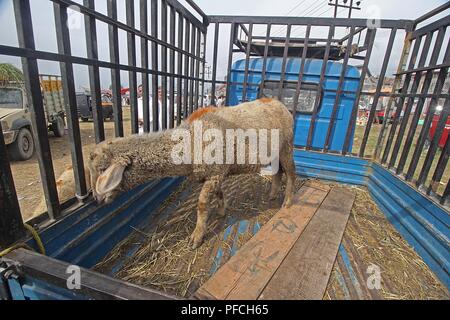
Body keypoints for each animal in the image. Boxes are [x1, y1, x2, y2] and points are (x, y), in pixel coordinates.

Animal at [89, 99, 298, 249]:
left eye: (102, 170)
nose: (96, 199)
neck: (189, 141)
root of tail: (280, 104)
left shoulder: (214, 173)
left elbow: (202, 204)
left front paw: (197, 237)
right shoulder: (214, 174)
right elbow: (219, 193)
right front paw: (221, 211)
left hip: (286, 146)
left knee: (291, 172)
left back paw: (287, 201)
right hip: (275, 152)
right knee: (278, 173)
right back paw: (272, 194)